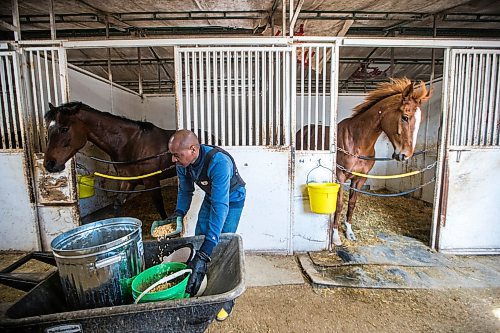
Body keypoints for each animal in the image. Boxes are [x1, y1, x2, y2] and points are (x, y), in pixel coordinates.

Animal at [43, 101, 177, 220]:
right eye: (48, 129)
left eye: (64, 129)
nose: (49, 164)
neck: (134, 144)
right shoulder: (128, 180)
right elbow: (117, 204)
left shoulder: (151, 180)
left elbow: (160, 207)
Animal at [296, 77, 430, 244]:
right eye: (405, 117)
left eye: (419, 122)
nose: (405, 155)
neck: (358, 142)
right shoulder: (340, 176)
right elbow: (339, 204)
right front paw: (335, 236)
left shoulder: (360, 178)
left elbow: (352, 203)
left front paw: (349, 232)